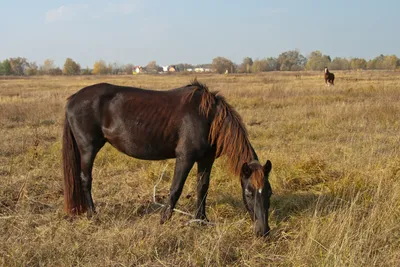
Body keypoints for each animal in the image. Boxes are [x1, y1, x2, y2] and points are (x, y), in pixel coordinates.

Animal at [62, 79, 274, 237]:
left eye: (269, 193)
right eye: (248, 193)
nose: (263, 232)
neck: (208, 117)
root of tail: (74, 98)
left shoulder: (207, 159)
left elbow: (202, 187)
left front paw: (201, 220)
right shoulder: (185, 157)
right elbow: (175, 189)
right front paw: (164, 219)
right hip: (88, 149)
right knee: (86, 180)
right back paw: (93, 215)